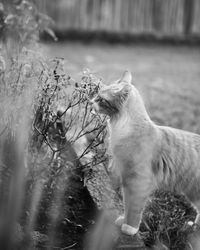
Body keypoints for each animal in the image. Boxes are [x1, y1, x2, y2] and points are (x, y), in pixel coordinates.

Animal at [90, 70, 200, 236]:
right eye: (97, 94)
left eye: (101, 99)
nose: (90, 101)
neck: (123, 129)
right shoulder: (126, 180)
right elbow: (126, 205)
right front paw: (123, 220)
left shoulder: (138, 182)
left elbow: (134, 209)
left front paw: (129, 228)